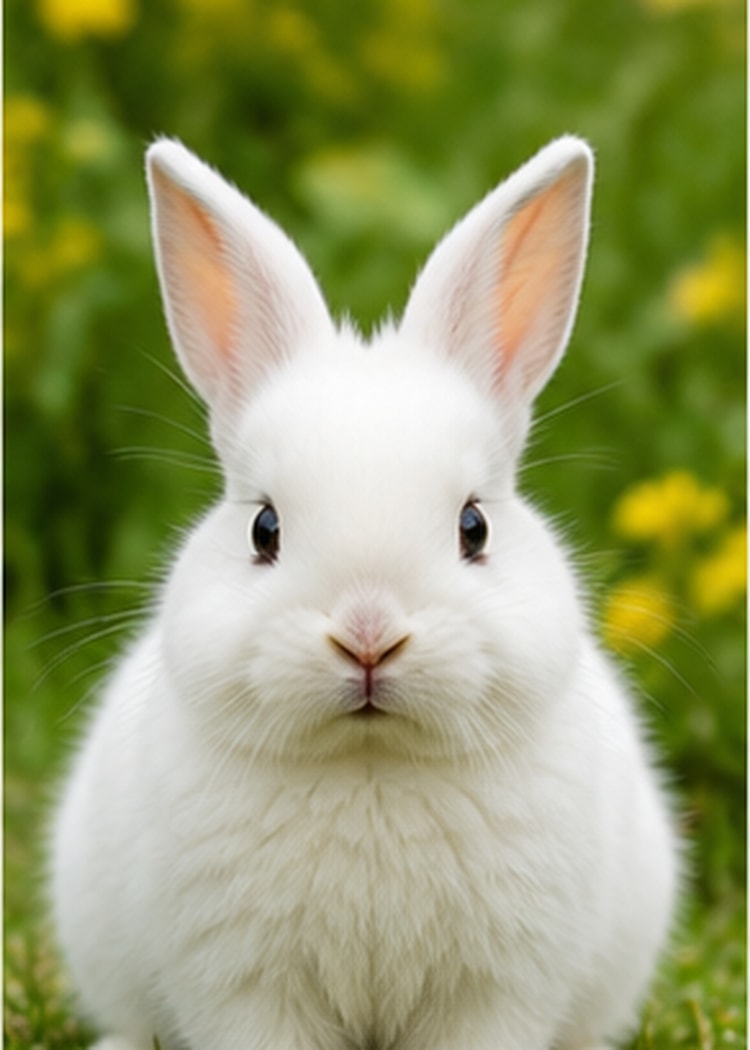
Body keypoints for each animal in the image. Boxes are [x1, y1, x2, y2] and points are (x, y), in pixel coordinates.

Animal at [51, 135, 679, 1050]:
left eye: (474, 527)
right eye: (264, 529)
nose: (369, 634)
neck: (370, 760)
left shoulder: (493, 994)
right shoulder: (247, 991)